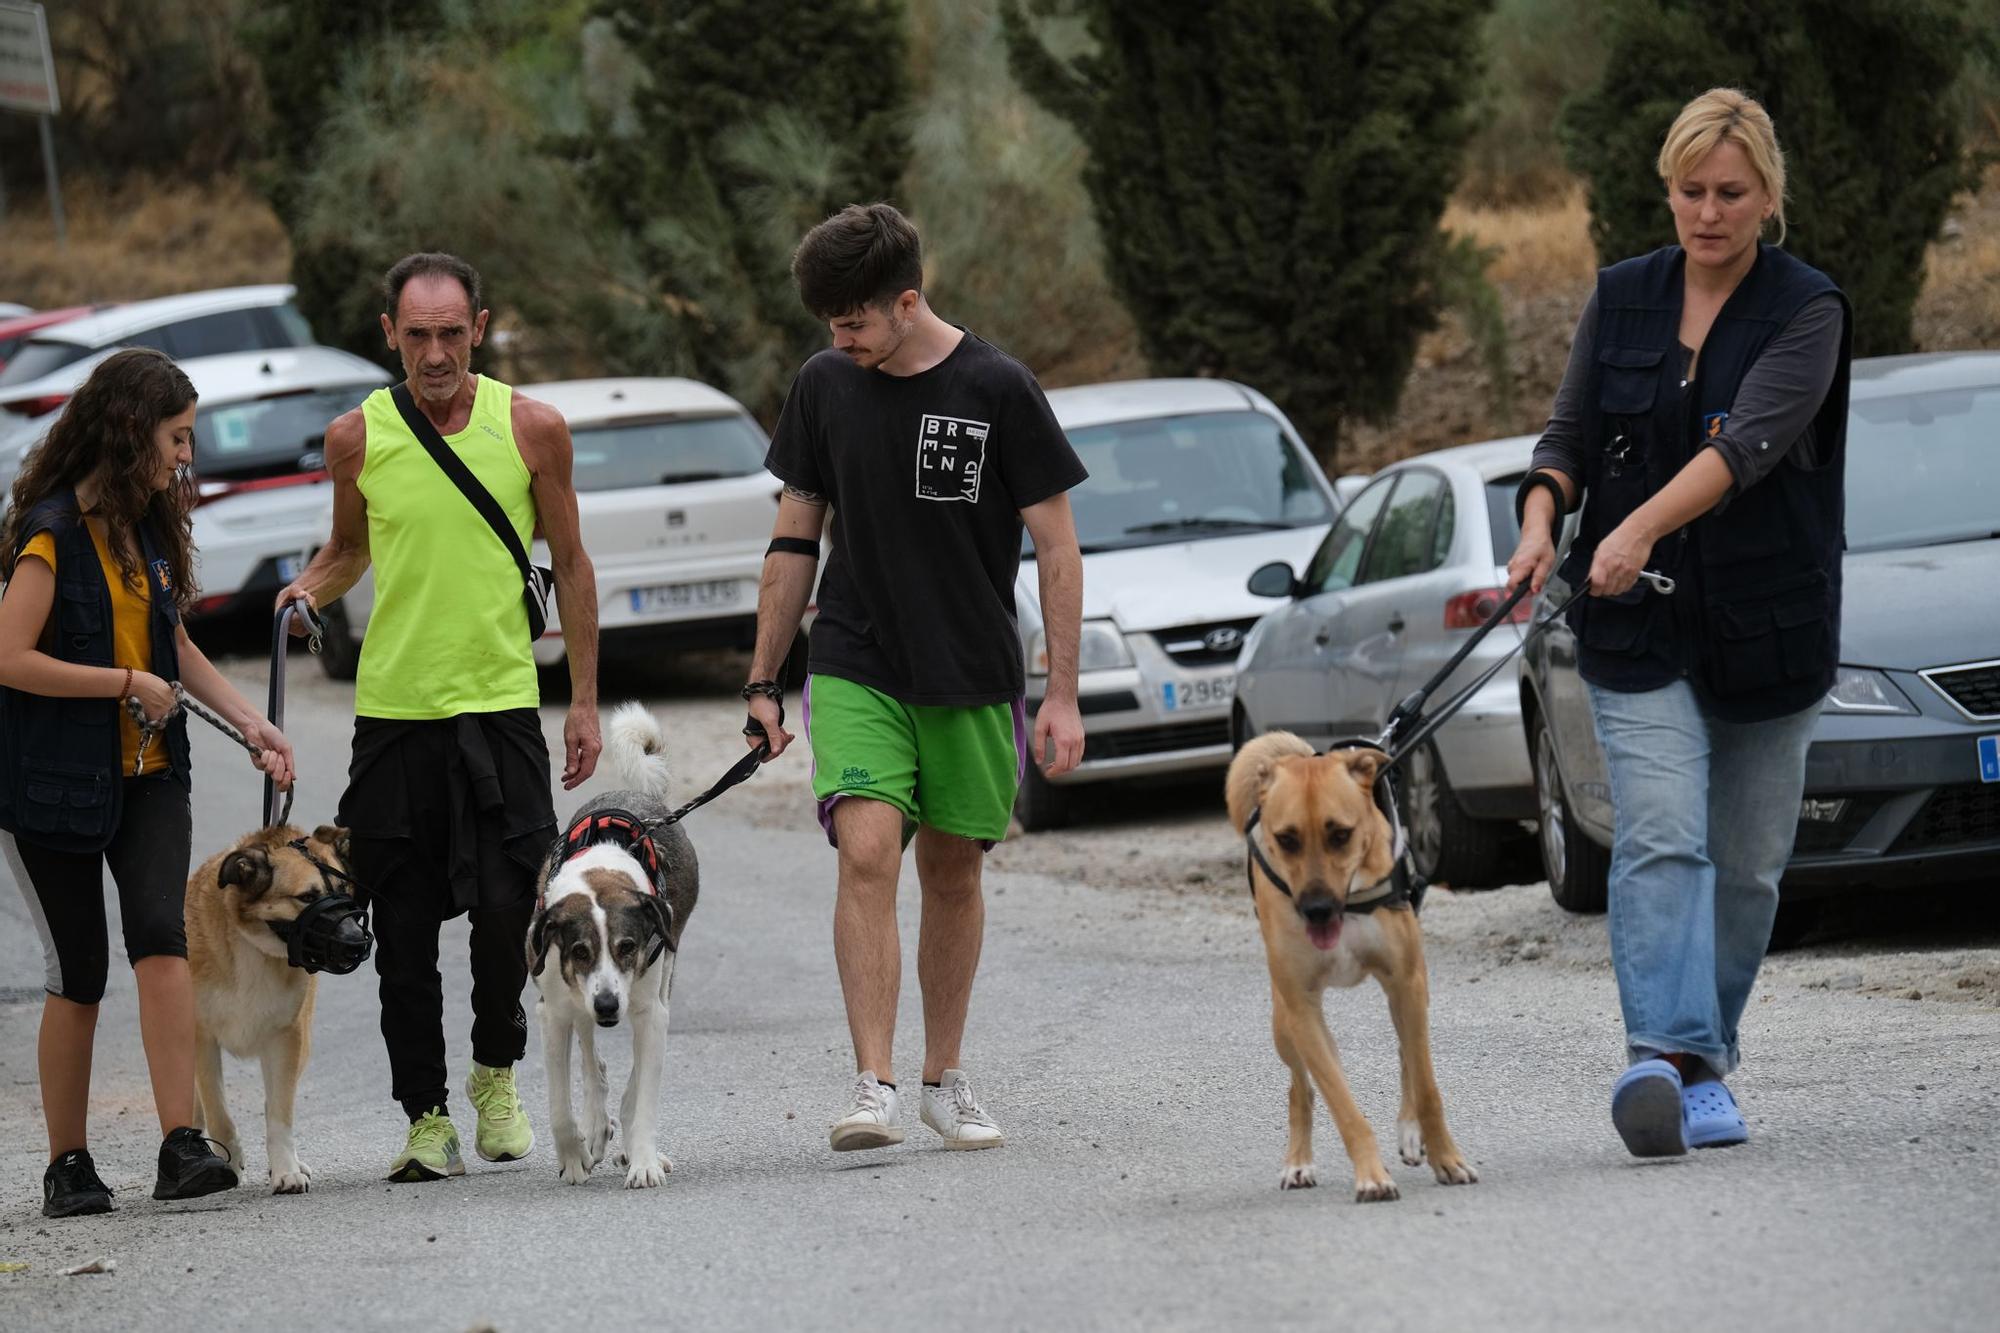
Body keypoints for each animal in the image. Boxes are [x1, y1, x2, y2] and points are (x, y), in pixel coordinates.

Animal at [185, 824, 356, 1184]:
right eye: (307, 897)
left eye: (343, 890)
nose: (356, 942)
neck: (254, 948)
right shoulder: (200, 1038)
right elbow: (218, 1113)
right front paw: (229, 1160)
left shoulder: (286, 1038)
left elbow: (280, 1114)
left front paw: (286, 1170)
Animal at [528, 700, 700, 1184]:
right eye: (580, 952)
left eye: (628, 947)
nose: (607, 1005)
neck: (600, 874)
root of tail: (640, 797)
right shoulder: (553, 1011)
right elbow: (559, 1107)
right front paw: (573, 1156)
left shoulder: (649, 1011)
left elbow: (644, 1098)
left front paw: (643, 1162)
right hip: (577, 1004)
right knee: (591, 1060)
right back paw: (594, 1127)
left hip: (664, 977)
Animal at [1216, 732, 1488, 1200]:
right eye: (1286, 839)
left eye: (1340, 834)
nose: (1317, 910)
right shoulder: (1302, 1008)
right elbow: (1342, 1105)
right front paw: (1371, 1175)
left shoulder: (1406, 981)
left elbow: (1427, 1086)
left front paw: (1447, 1159)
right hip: (1283, 1024)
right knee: (1302, 1088)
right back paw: (1299, 1161)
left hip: (1414, 994)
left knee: (1406, 1054)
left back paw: (1409, 1130)